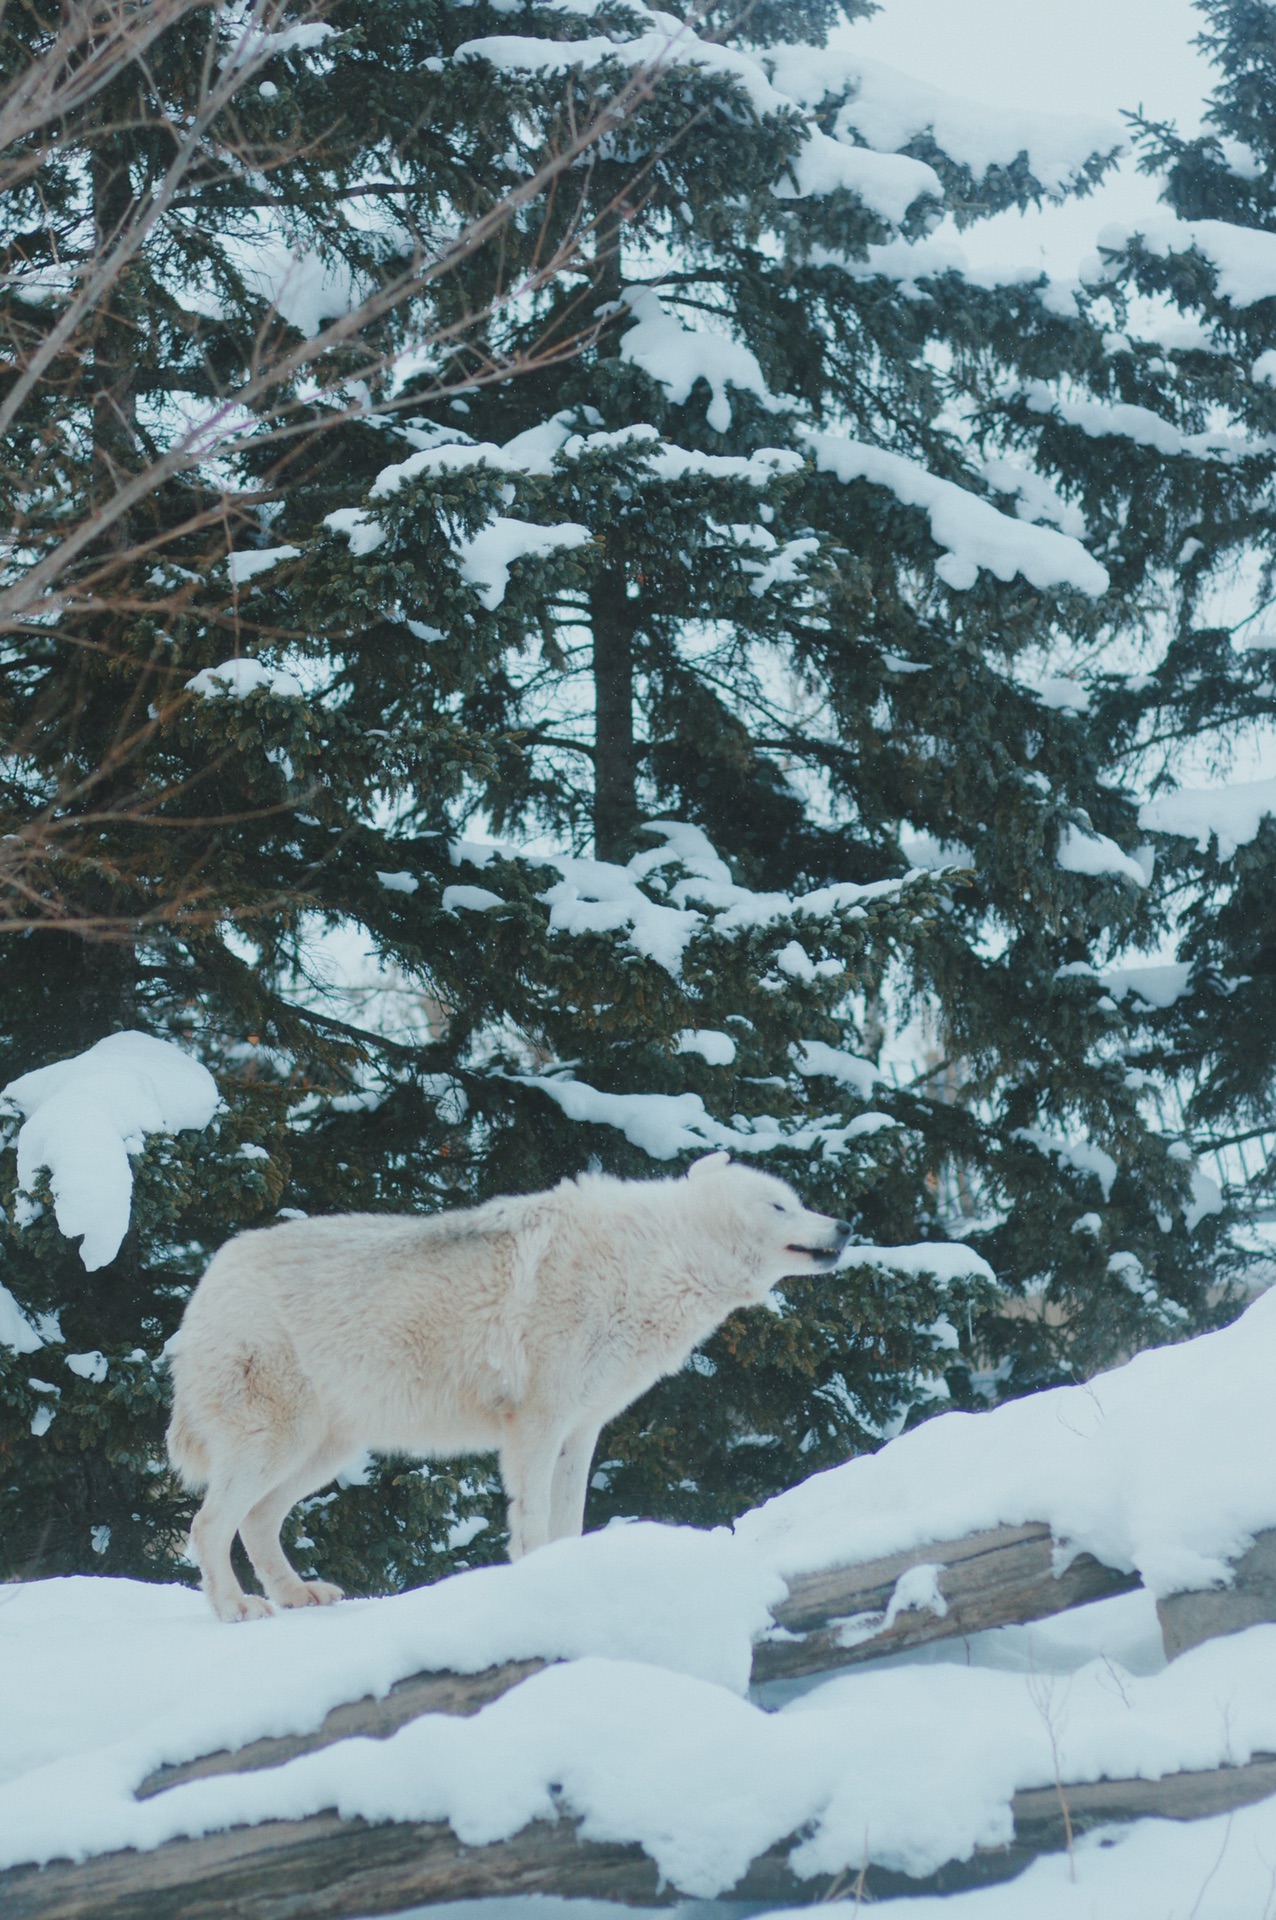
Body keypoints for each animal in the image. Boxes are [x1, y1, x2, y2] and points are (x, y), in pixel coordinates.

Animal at [166, 1152, 844, 1620]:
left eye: (798, 1201)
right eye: (780, 1207)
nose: (842, 1226)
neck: (648, 1264)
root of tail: (208, 1278)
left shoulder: (582, 1427)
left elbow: (571, 1515)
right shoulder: (537, 1424)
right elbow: (535, 1516)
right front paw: (538, 1578)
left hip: (323, 1454)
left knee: (255, 1521)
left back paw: (297, 1594)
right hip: (280, 1443)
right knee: (208, 1525)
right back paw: (235, 1609)